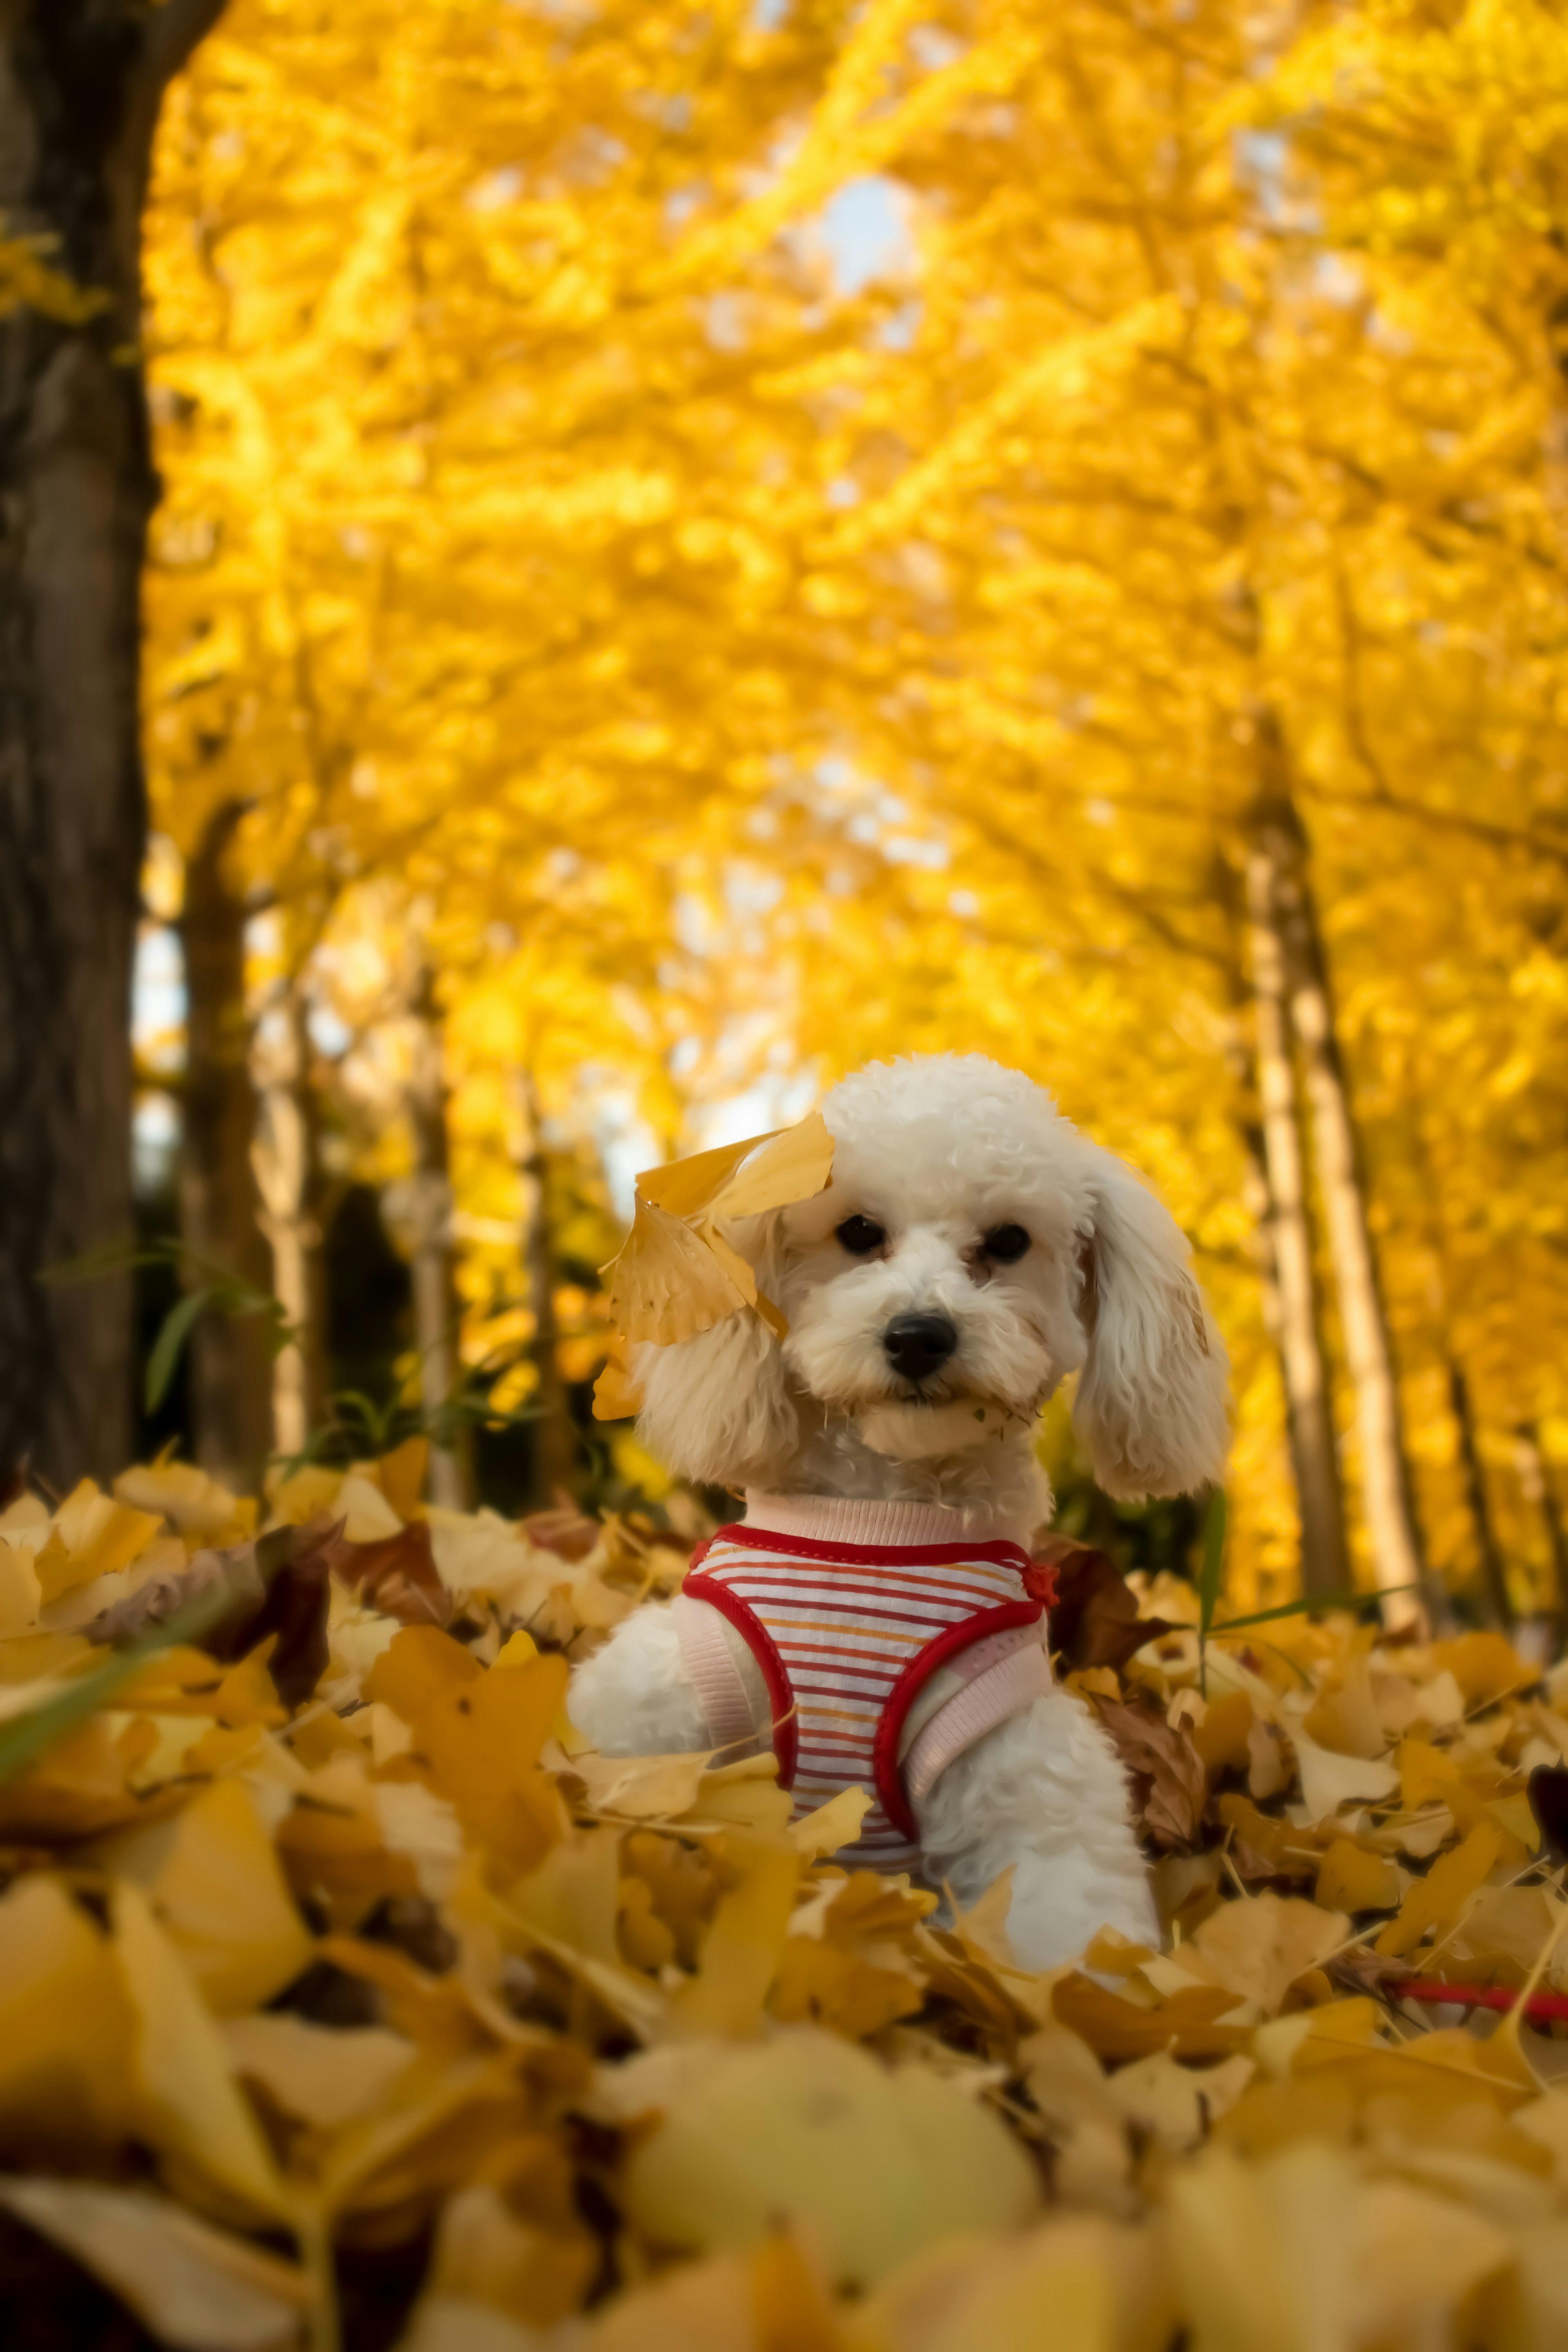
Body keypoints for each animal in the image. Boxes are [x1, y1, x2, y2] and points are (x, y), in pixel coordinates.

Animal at [571, 1054, 1232, 1966]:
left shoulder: (1020, 1766)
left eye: (1008, 1243)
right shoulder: (663, 1707)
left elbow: (1061, 1921)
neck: (883, 1523)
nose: (920, 1335)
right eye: (857, 1232)